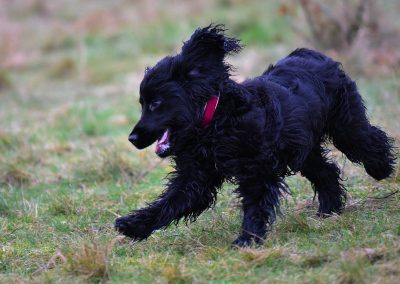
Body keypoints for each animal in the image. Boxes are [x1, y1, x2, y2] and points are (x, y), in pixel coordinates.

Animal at [114, 25, 396, 246]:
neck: (216, 122)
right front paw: (134, 225)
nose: (132, 139)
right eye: (142, 103)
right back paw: (329, 210)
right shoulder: (196, 177)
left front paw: (247, 239)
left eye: (155, 103)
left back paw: (381, 169)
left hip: (345, 124)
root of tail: (311, 53)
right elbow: (170, 203)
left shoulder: (256, 170)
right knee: (326, 171)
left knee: (369, 140)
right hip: (304, 150)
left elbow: (256, 204)